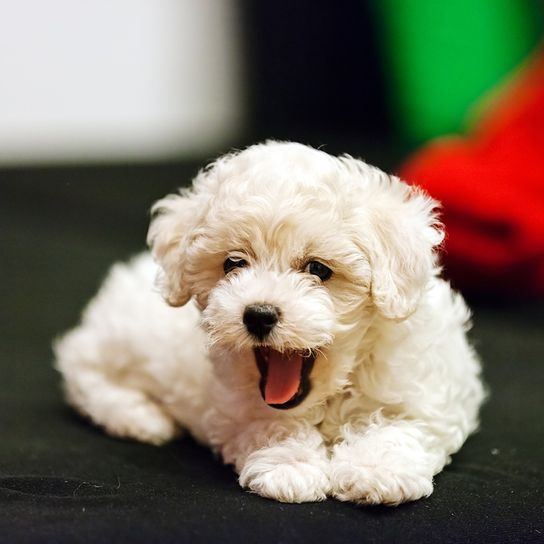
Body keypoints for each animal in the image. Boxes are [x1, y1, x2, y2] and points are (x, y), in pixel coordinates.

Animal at [55, 141, 484, 506]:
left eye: (318, 269)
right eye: (233, 263)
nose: (258, 314)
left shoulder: (427, 394)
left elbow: (398, 424)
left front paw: (376, 469)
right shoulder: (237, 406)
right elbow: (272, 424)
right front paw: (290, 467)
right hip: (116, 344)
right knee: (81, 369)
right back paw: (140, 417)